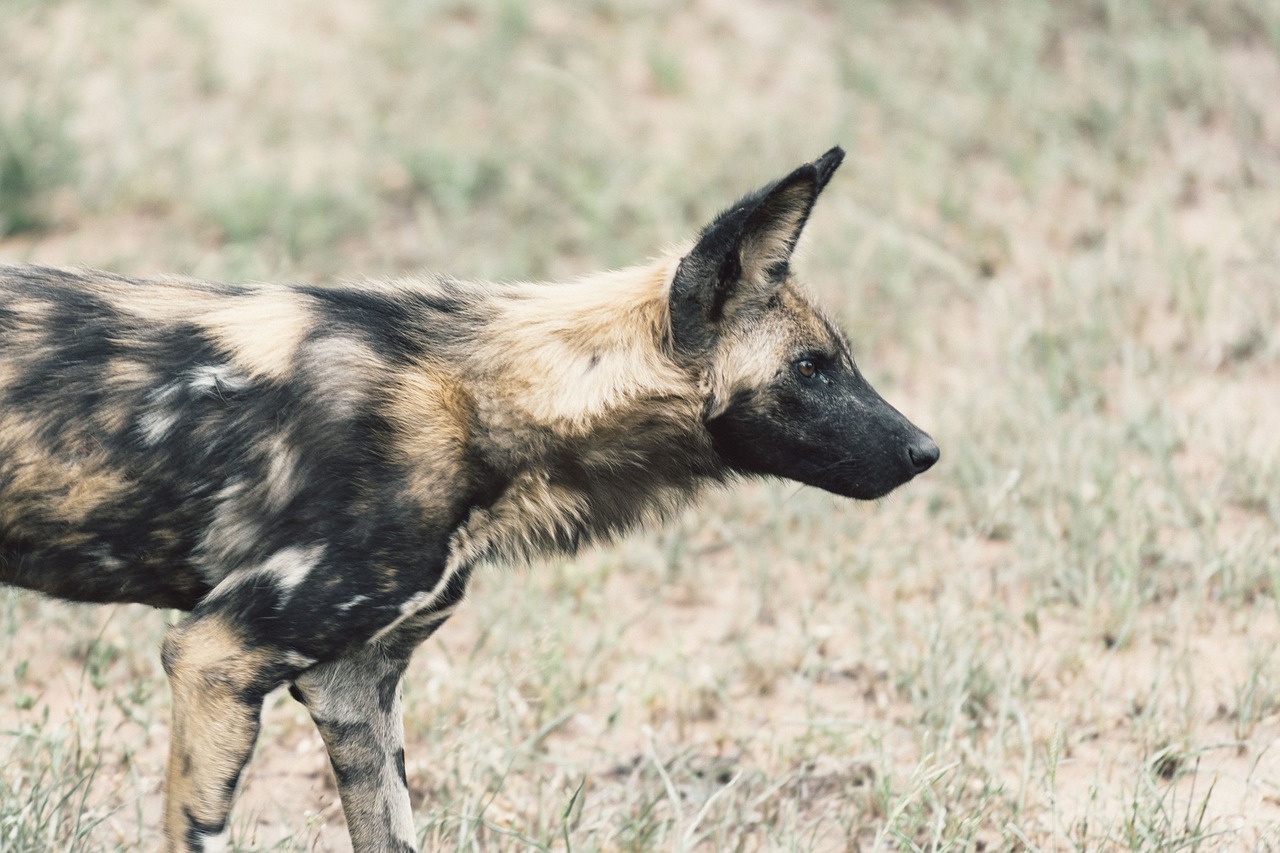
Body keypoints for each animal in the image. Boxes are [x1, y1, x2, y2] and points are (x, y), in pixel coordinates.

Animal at [0, 149, 942, 845]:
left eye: (838, 360)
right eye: (810, 369)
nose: (925, 449)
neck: (493, 398)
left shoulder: (352, 689)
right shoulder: (216, 656)